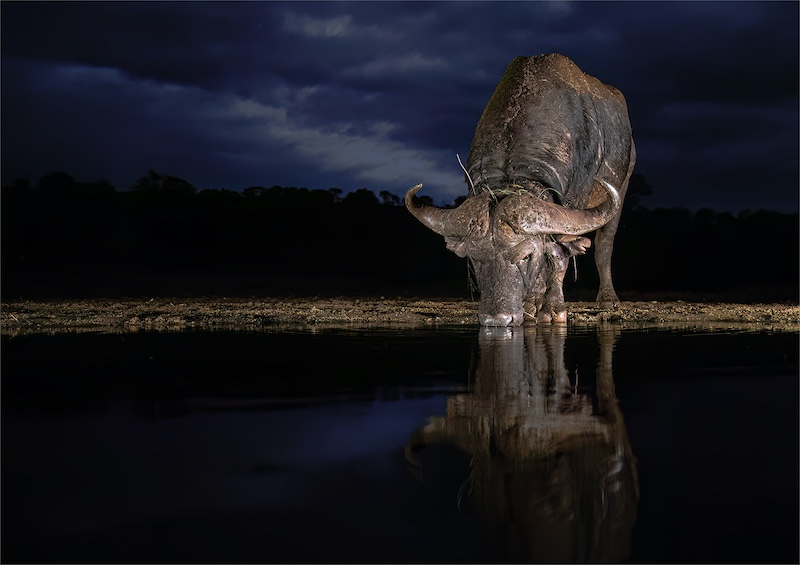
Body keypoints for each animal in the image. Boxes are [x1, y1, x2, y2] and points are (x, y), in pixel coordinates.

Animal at [406, 54, 636, 326]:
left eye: (526, 256)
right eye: (475, 258)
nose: (498, 319)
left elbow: (558, 255)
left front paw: (553, 308)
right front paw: (531, 304)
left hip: (623, 183)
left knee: (603, 246)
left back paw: (607, 298)